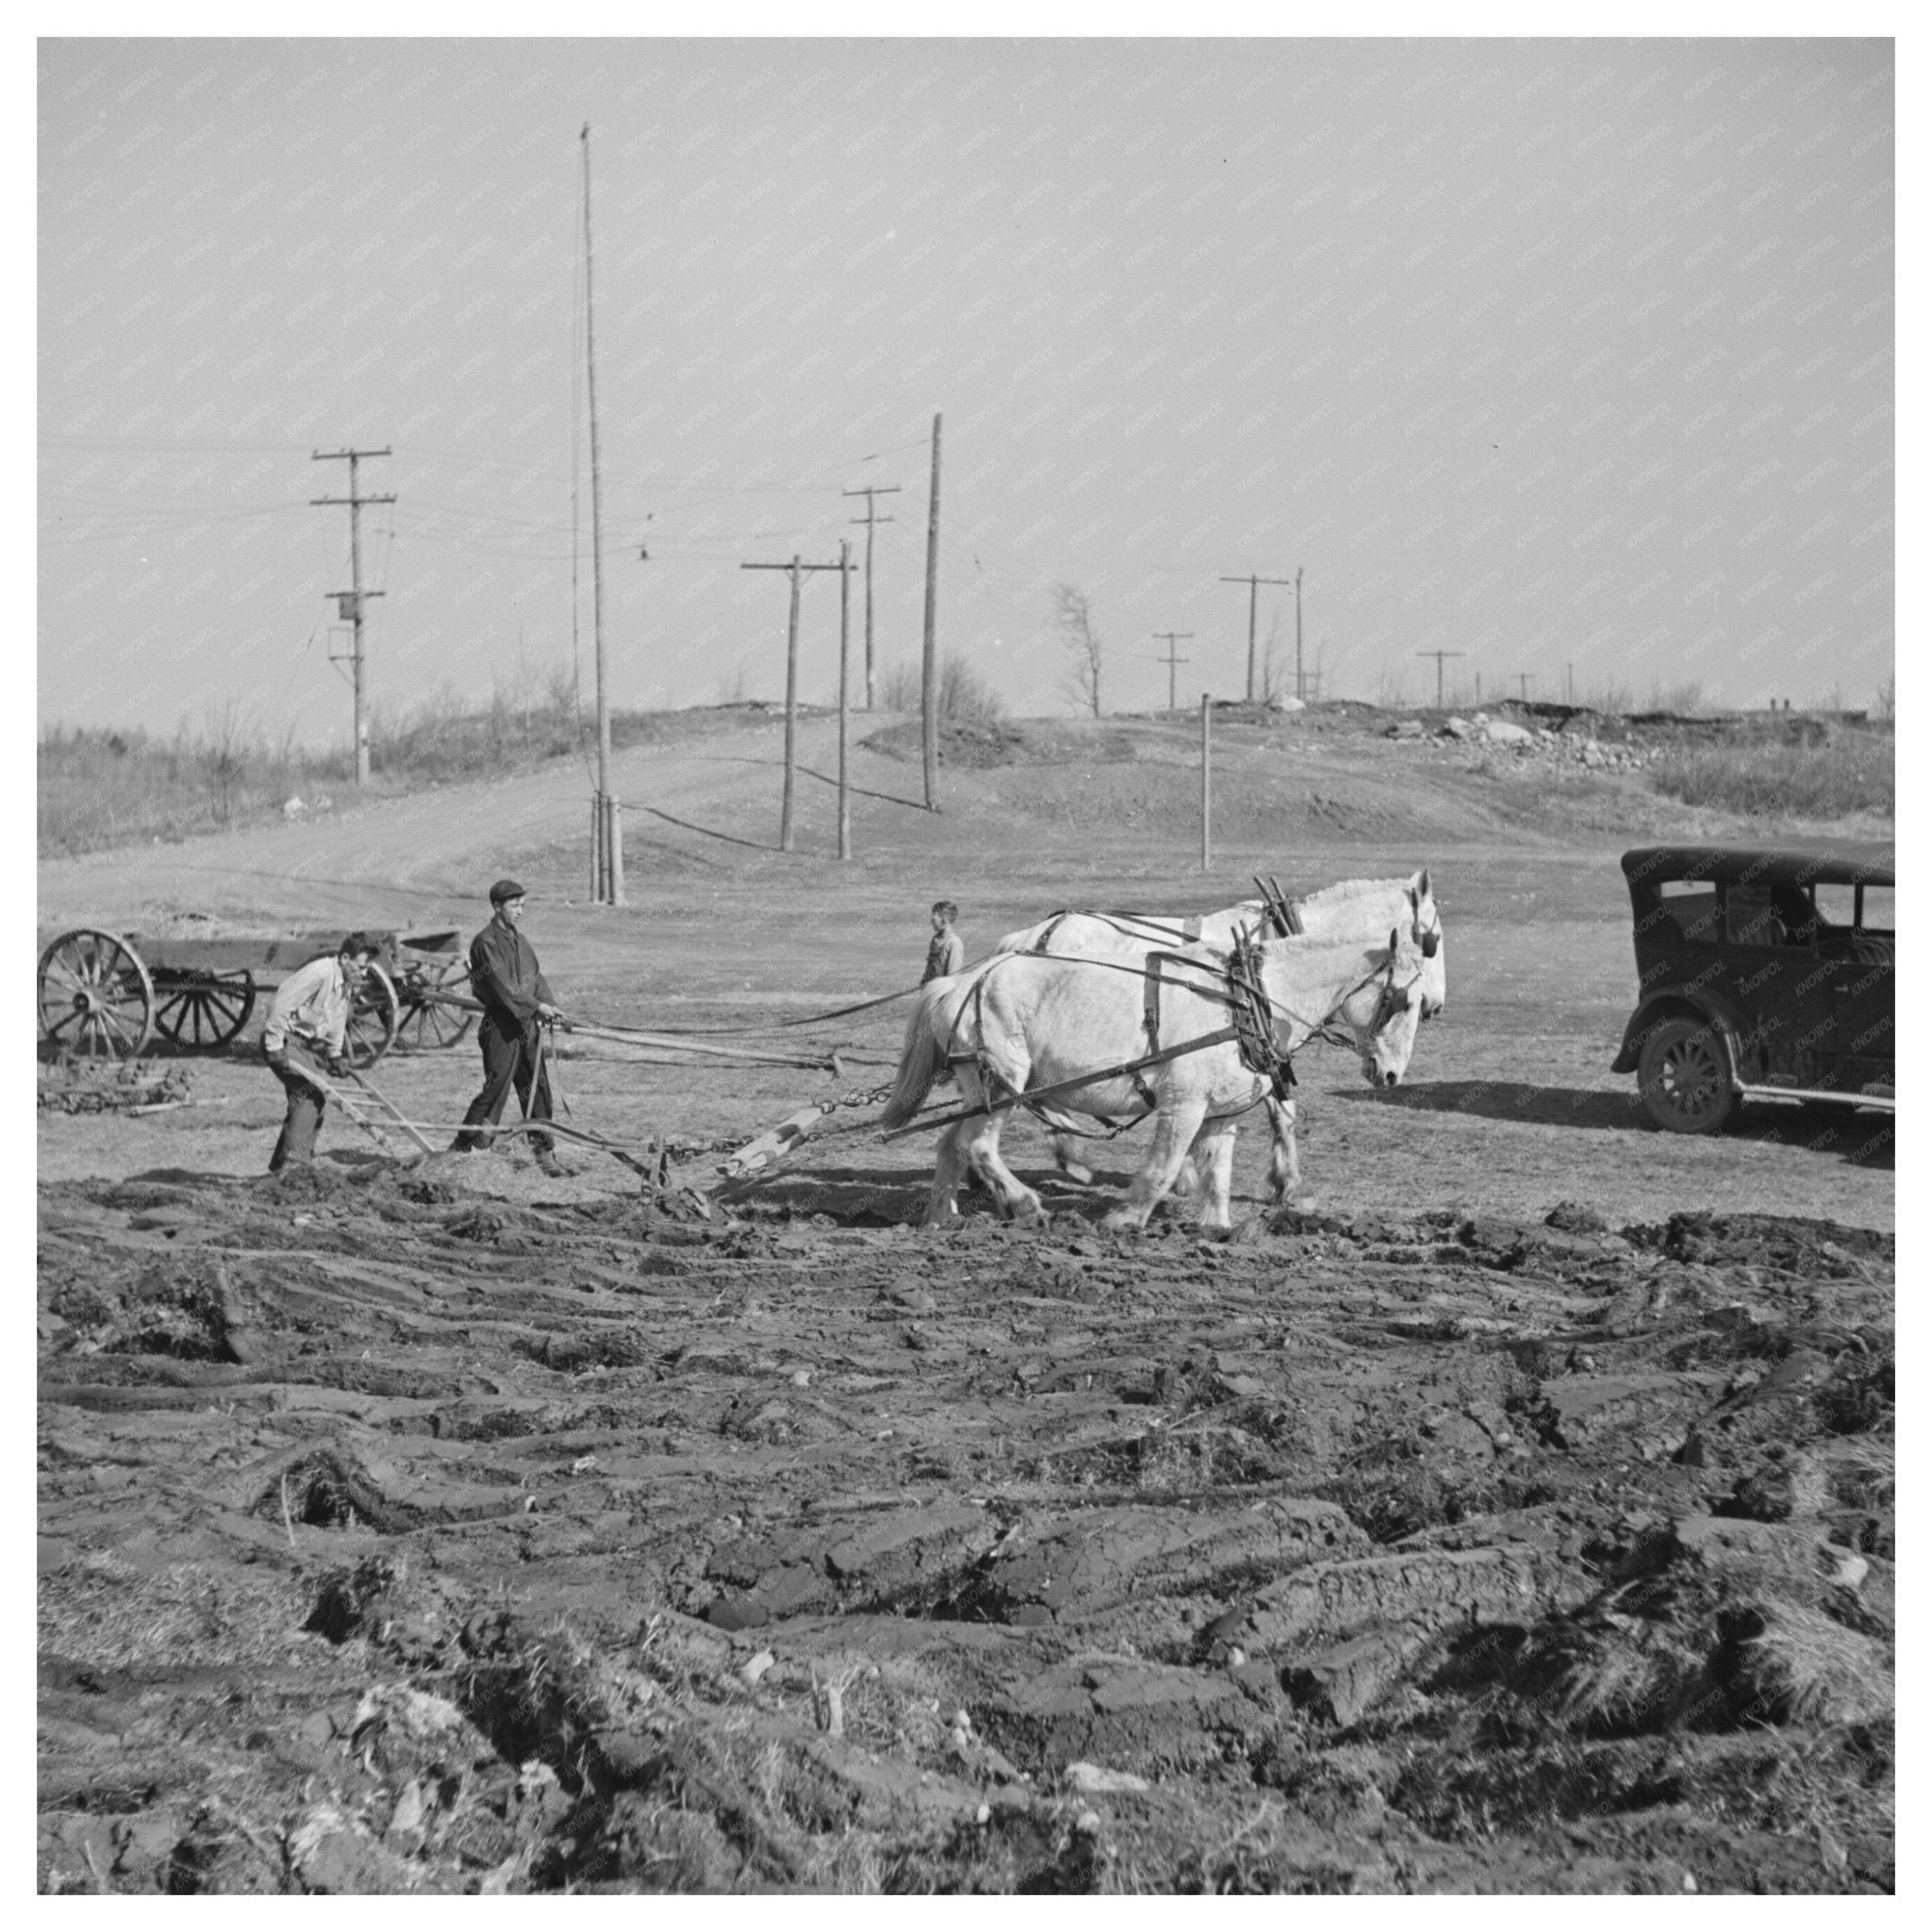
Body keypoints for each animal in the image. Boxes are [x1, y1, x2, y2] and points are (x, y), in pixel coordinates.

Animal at [884, 923, 1429, 1236]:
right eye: (1405, 1001)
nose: (1391, 1075)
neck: (1248, 999)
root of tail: (959, 981)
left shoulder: (1219, 1113)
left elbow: (1218, 1173)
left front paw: (1218, 1227)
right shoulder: (1184, 1104)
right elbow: (1165, 1165)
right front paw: (1126, 1218)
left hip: (979, 1089)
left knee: (951, 1145)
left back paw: (940, 1216)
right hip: (1001, 1084)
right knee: (977, 1146)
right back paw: (1024, 1204)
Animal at [1004, 873, 1444, 1190]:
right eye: (1433, 941)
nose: (1435, 1006)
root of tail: (1030, 934)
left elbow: (1278, 1112)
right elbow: (1278, 1111)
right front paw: (1288, 1185)